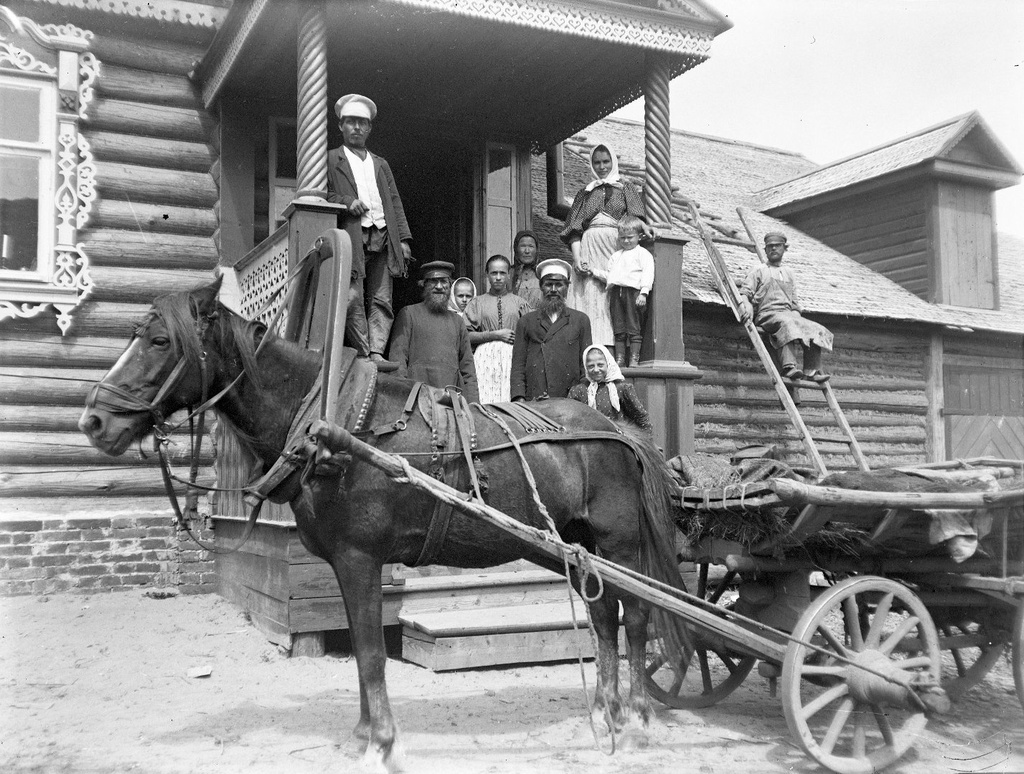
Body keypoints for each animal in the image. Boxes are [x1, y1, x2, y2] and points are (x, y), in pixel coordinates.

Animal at [79, 276, 688, 769]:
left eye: (161, 341)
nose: (94, 420)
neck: (333, 427)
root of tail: (615, 429)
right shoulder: (345, 564)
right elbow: (359, 650)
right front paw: (362, 734)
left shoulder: (359, 558)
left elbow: (371, 653)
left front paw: (381, 743)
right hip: (578, 549)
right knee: (604, 618)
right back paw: (606, 714)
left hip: (617, 543)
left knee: (634, 617)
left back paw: (636, 719)